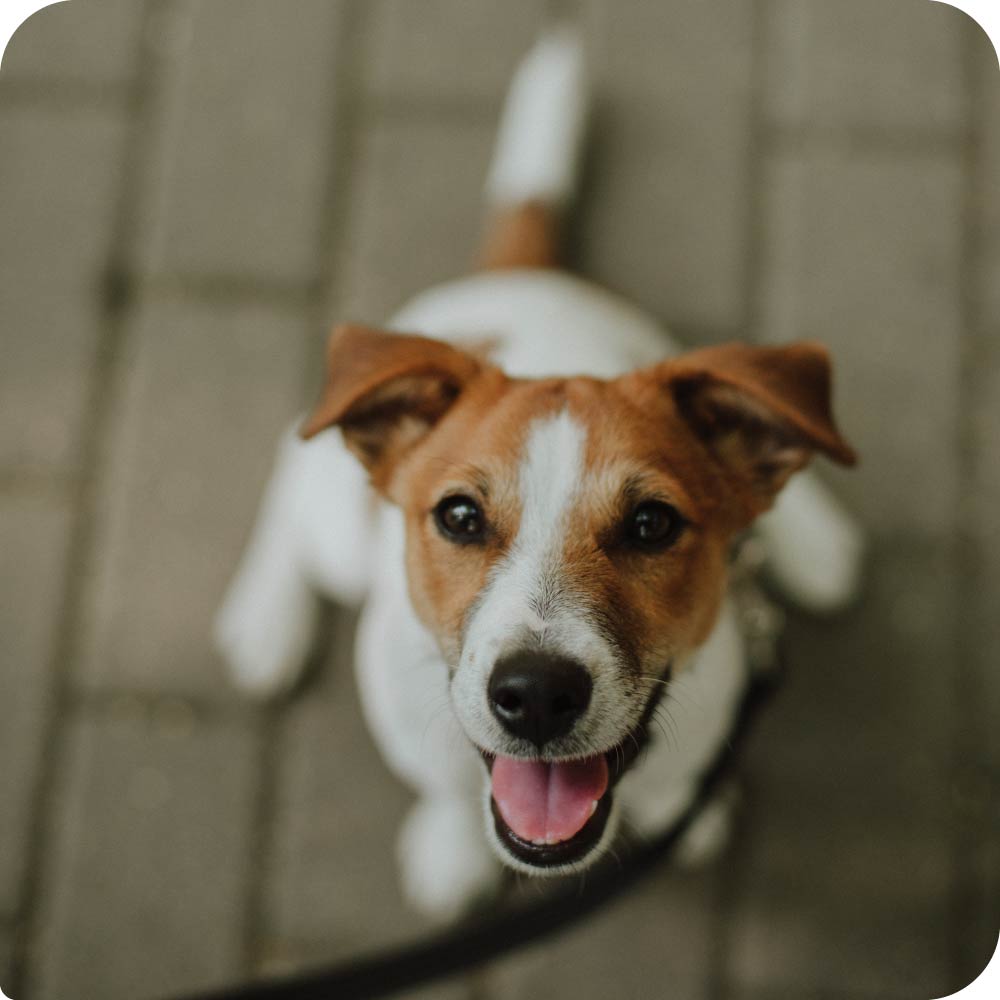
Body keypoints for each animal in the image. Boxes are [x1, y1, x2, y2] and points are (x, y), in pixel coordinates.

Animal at [215, 29, 864, 920]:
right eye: (458, 517)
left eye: (652, 524)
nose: (537, 695)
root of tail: (519, 273)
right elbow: (446, 792)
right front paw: (450, 848)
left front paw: (684, 812)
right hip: (335, 519)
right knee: (291, 459)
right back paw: (266, 619)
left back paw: (815, 541)